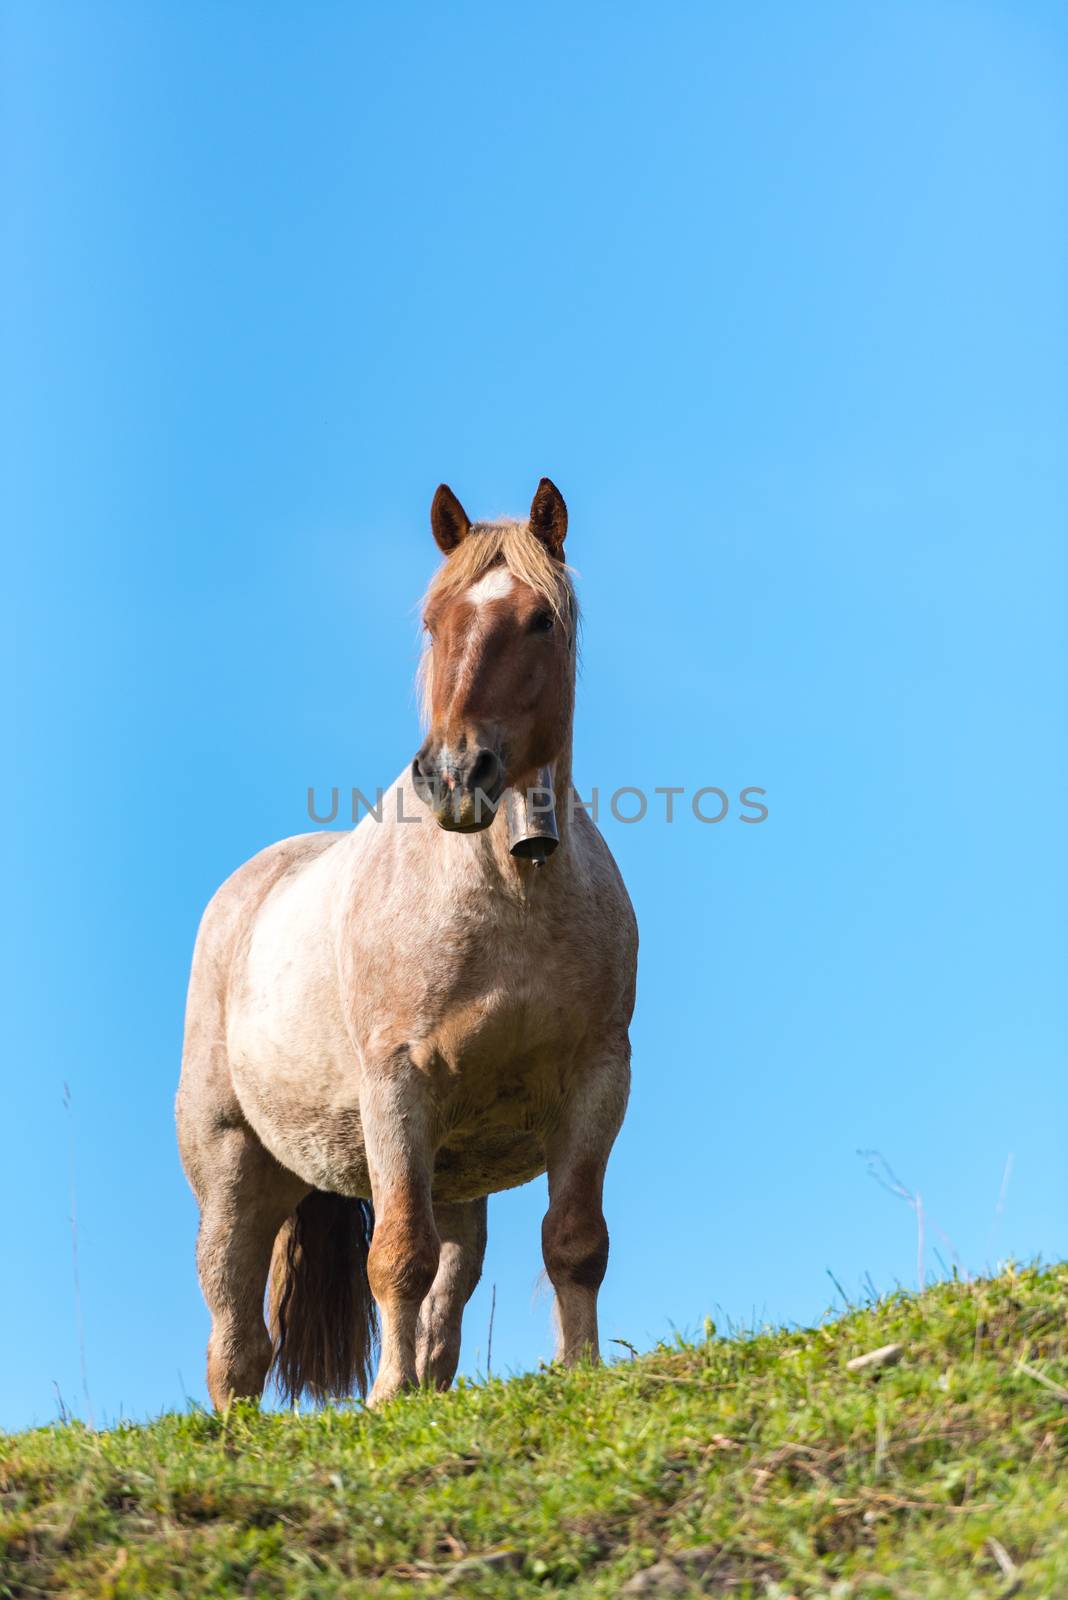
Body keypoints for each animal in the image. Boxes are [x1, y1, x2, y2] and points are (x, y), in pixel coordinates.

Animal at [177, 480, 633, 1408]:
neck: (507, 893)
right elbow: (397, 1258)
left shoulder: (597, 1079)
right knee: (235, 1338)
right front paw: (387, 1400)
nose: (456, 775)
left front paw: (580, 1369)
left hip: (454, 1173)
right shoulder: (396, 1087)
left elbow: (574, 1241)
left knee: (446, 1303)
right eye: (433, 621)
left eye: (541, 620)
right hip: (233, 1165)